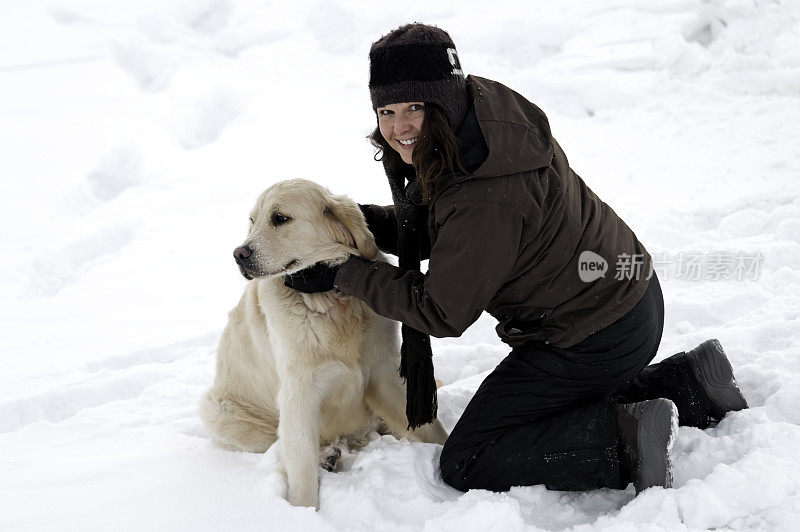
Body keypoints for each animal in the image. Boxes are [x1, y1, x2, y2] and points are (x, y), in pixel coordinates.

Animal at [198, 181, 450, 510]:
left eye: (280, 218)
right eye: (253, 221)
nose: (239, 253)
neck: (327, 299)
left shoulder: (384, 373)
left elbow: (430, 428)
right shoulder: (298, 391)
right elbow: (301, 463)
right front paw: (302, 511)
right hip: (222, 413)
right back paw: (327, 456)